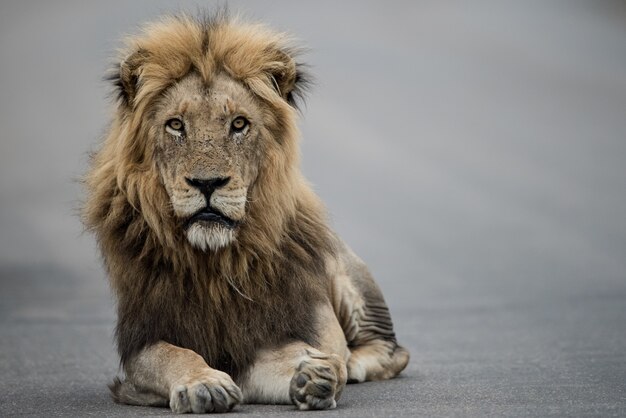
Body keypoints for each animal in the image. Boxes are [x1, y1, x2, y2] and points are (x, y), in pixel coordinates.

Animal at [83, 11, 408, 414]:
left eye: (239, 124)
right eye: (176, 125)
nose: (207, 183)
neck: (214, 263)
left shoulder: (273, 334)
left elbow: (299, 359)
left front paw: (314, 374)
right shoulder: (142, 344)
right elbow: (173, 355)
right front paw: (204, 384)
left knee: (392, 351)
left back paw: (354, 363)